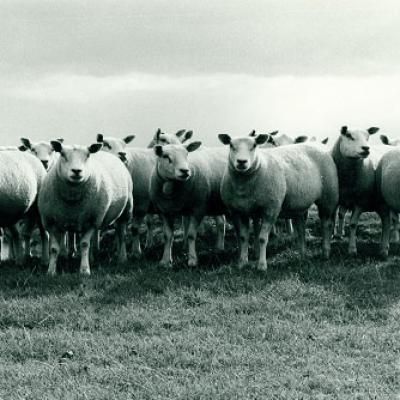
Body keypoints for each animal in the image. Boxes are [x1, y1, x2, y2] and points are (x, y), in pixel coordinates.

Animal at [38, 141, 133, 276]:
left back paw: (122, 258)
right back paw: (92, 258)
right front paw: (51, 271)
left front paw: (84, 270)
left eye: (88, 155)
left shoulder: (92, 220)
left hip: (126, 209)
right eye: (62, 154)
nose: (77, 171)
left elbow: (84, 244)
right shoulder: (50, 222)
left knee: (121, 234)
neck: (72, 198)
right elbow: (54, 249)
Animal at [219, 133, 338, 270]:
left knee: (326, 224)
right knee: (301, 228)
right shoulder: (239, 211)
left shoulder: (271, 209)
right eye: (231, 145)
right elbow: (244, 237)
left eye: (254, 145)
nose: (242, 162)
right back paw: (302, 255)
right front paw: (242, 263)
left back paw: (325, 252)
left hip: (328, 196)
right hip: (300, 203)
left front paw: (262, 265)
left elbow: (262, 238)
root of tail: (318, 144)